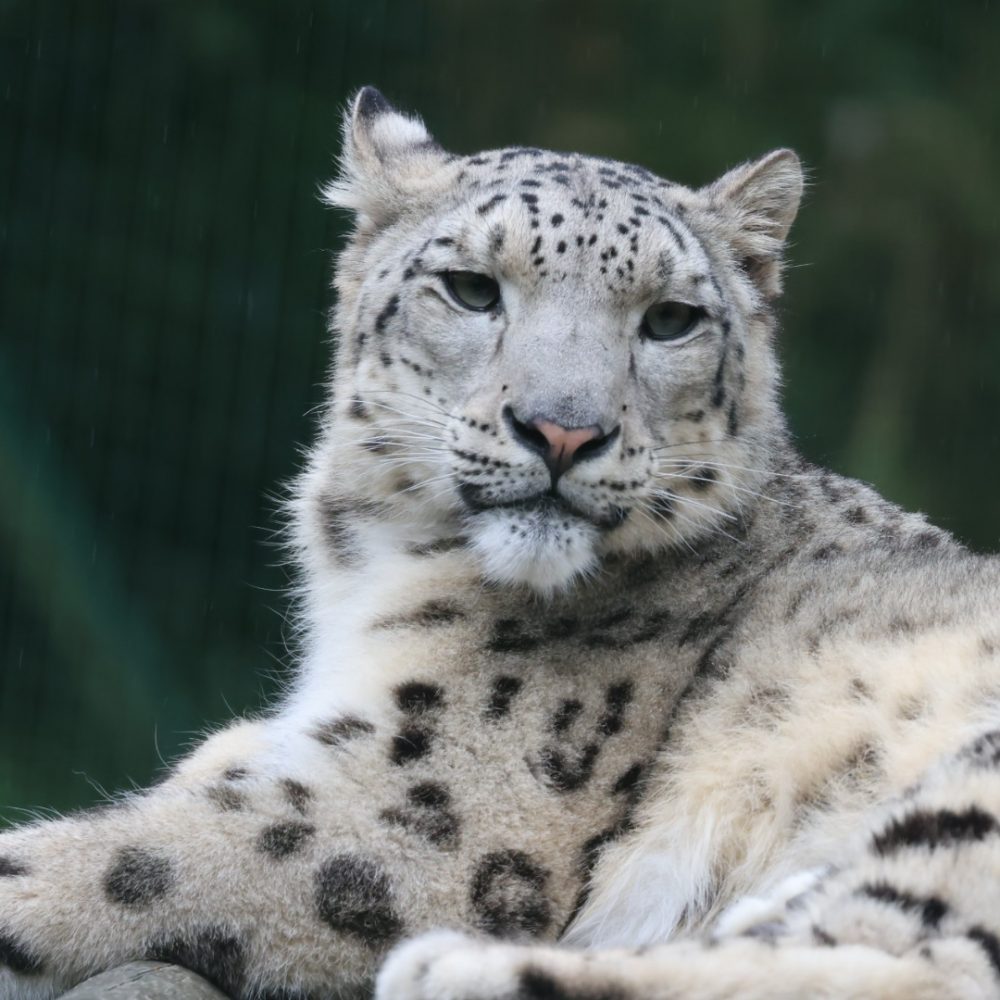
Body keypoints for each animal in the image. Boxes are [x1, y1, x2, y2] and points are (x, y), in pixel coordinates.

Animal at [3, 86, 1000, 1000]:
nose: (563, 431)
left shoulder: (434, 811)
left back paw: (448, 968)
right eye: (472, 288)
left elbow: (131, 861)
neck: (366, 580)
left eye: (671, 317)